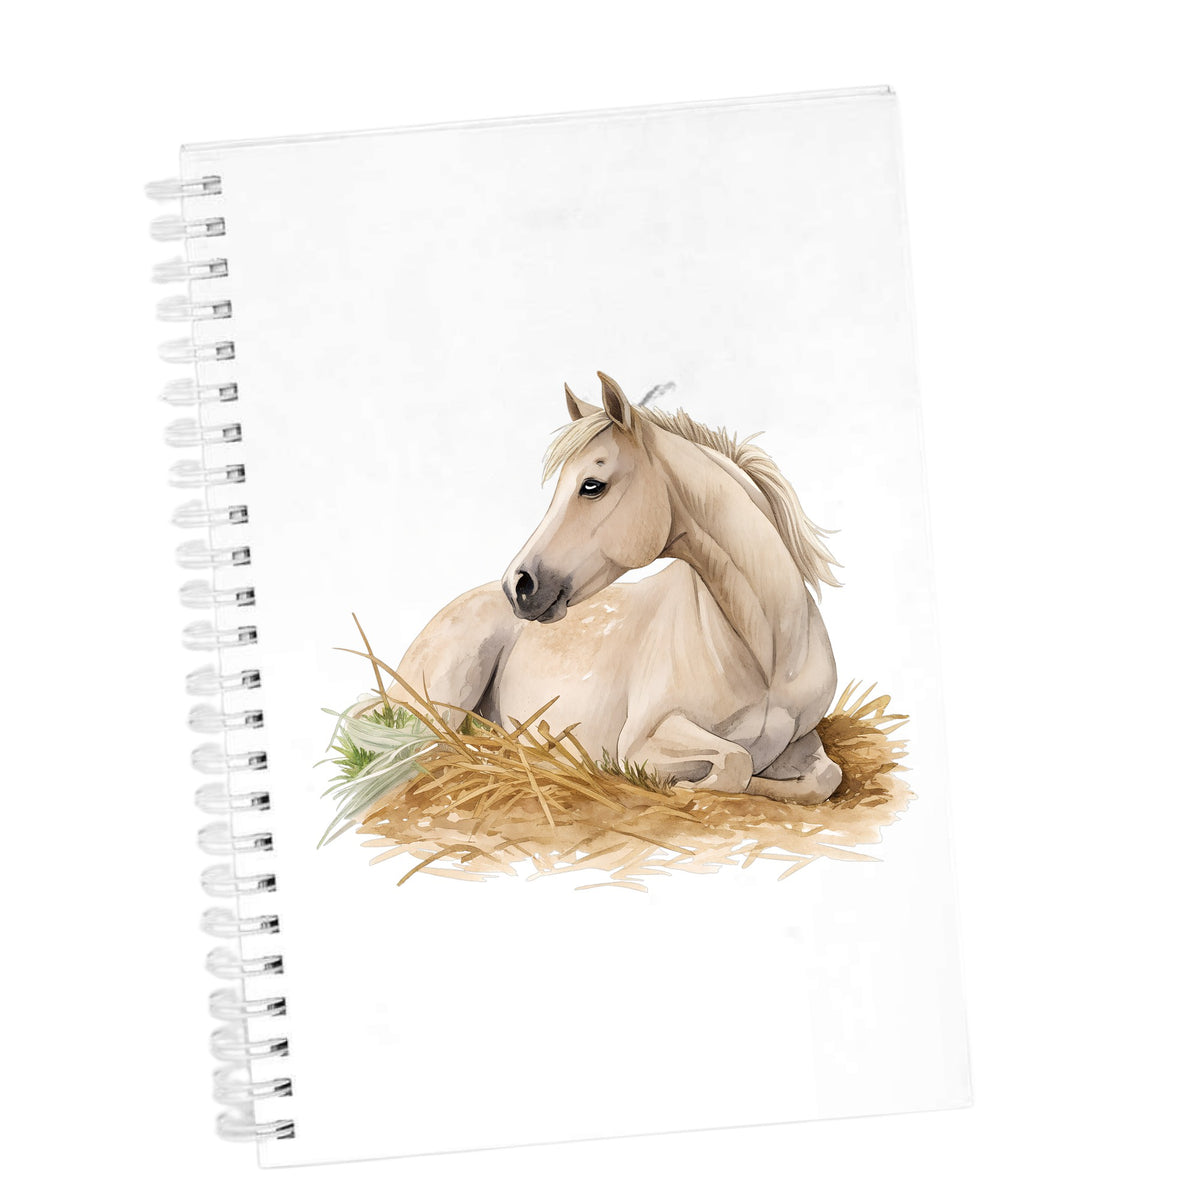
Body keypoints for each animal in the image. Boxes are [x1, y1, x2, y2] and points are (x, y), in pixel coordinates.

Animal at [389, 371, 844, 803]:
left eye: (592, 485)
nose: (519, 584)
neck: (769, 655)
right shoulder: (641, 741)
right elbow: (736, 762)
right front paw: (681, 787)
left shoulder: (802, 740)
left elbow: (824, 777)